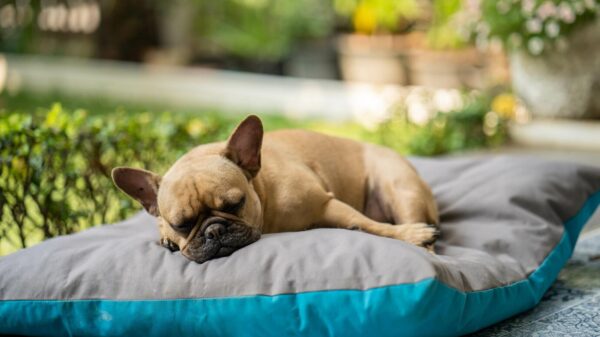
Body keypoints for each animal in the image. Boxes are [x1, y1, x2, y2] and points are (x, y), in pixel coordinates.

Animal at [113, 115, 440, 262]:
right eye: (181, 224)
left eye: (235, 204)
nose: (214, 231)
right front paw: (166, 239)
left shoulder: (326, 203)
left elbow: (370, 226)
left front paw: (410, 235)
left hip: (399, 188)